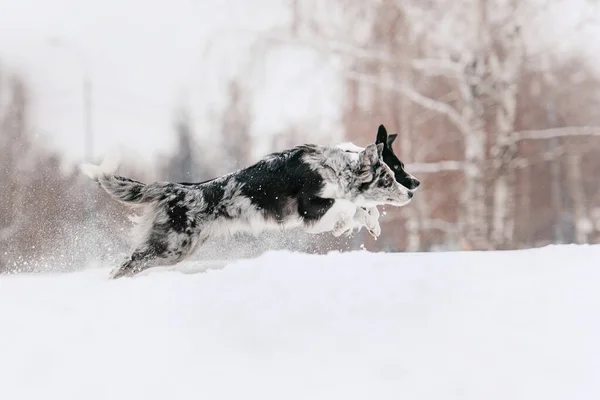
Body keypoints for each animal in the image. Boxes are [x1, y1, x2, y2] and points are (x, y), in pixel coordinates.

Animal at [83, 128, 412, 278]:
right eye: (388, 177)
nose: (411, 193)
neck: (334, 167)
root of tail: (176, 188)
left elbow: (362, 207)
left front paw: (370, 224)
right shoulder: (311, 211)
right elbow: (350, 206)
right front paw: (351, 224)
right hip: (171, 247)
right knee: (126, 264)